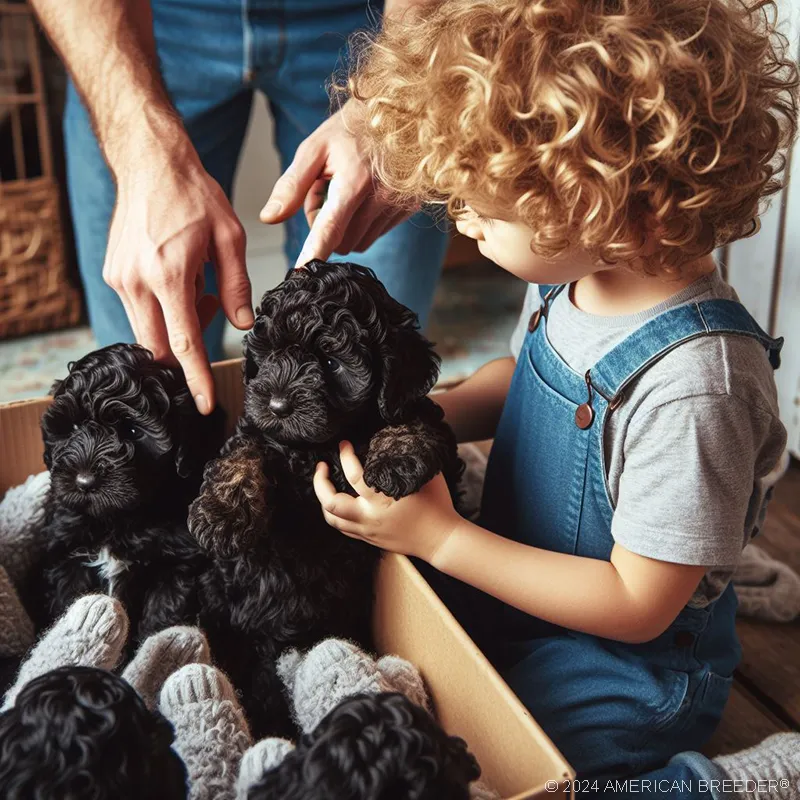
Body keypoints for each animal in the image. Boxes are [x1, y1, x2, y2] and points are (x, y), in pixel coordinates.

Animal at [25, 346, 225, 648]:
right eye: (73, 428)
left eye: (132, 431)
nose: (84, 482)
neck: (117, 519)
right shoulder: (65, 555)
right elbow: (66, 600)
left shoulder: (176, 565)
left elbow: (161, 613)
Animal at [188, 260, 462, 736]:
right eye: (270, 355)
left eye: (332, 362)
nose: (278, 404)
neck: (315, 446)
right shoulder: (258, 430)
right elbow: (239, 456)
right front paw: (219, 516)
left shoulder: (419, 417)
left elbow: (411, 420)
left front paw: (394, 459)